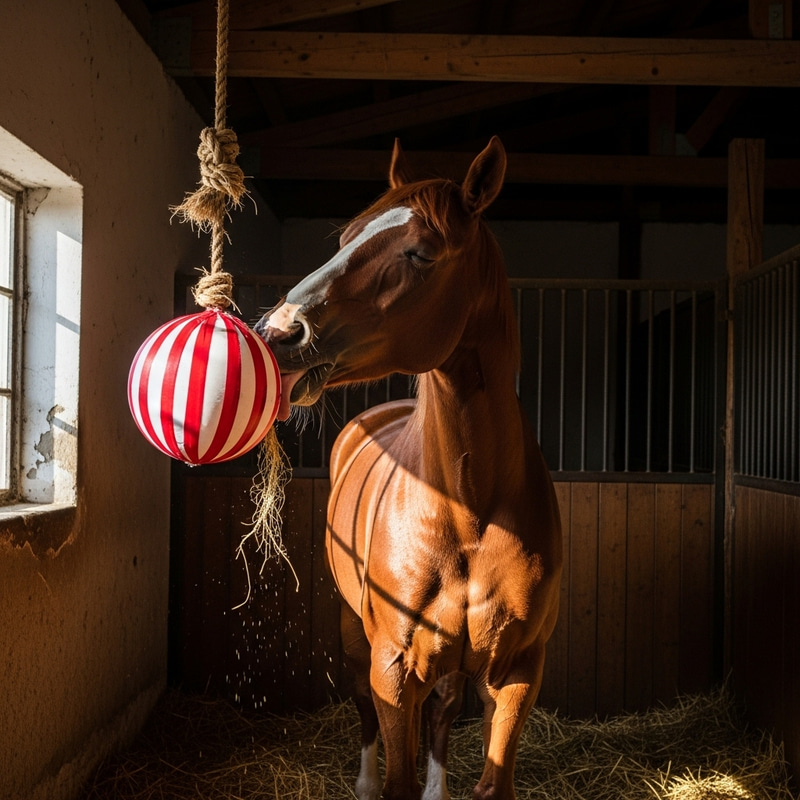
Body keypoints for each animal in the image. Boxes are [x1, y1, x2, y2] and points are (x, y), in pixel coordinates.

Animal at [255, 137, 562, 800]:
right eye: (346, 237)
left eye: (420, 253)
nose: (279, 330)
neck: (470, 511)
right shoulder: (393, 666)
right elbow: (391, 744)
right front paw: (381, 781)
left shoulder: (519, 672)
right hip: (355, 634)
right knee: (364, 708)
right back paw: (365, 780)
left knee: (442, 712)